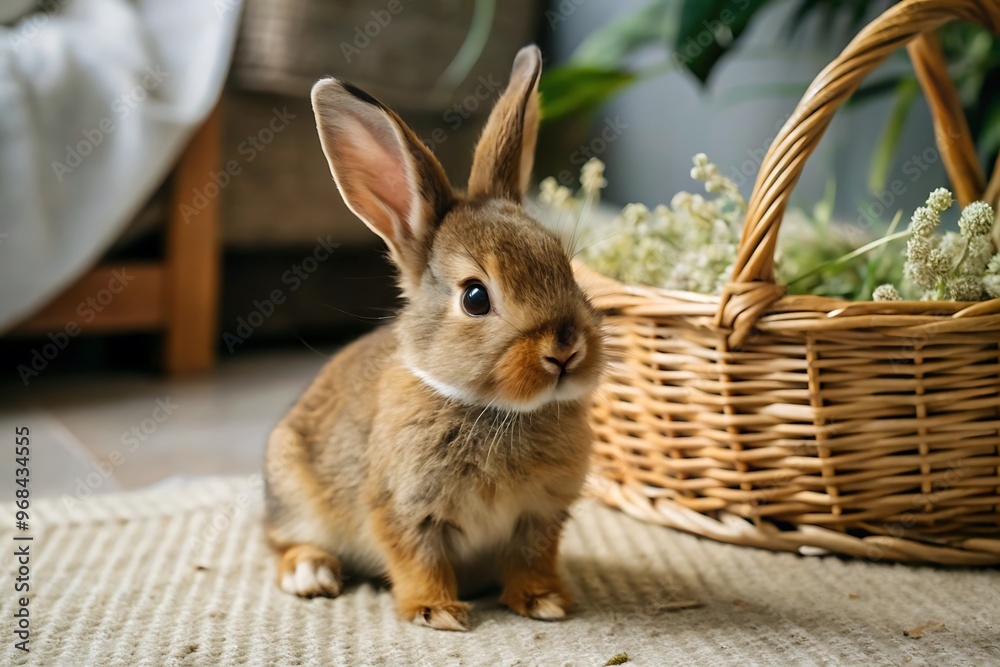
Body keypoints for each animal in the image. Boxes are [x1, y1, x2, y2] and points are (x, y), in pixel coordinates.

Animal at [263, 45, 605, 632]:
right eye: (475, 298)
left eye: (566, 270)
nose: (566, 349)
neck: (495, 410)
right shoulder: (405, 509)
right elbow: (418, 559)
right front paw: (438, 612)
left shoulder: (541, 517)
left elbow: (533, 558)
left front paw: (544, 603)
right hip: (294, 489)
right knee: (278, 542)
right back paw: (312, 574)